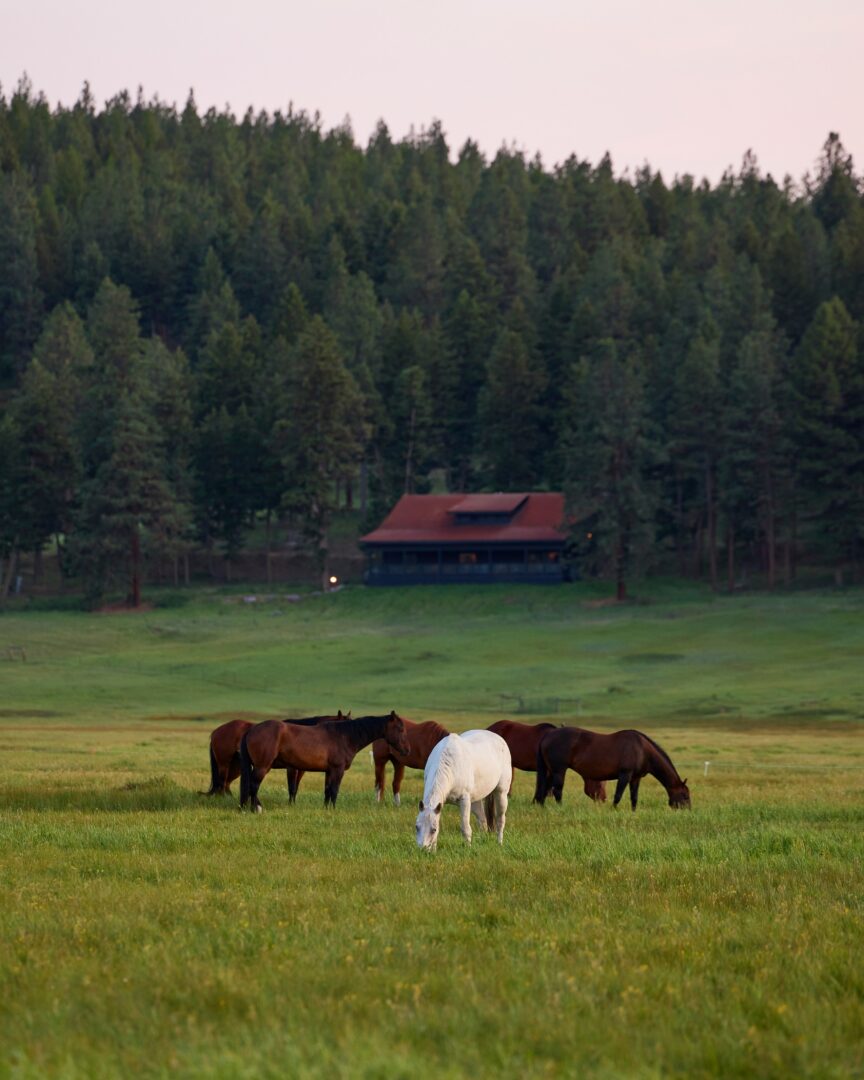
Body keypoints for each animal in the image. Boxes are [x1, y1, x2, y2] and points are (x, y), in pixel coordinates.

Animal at [204, 712, 349, 798]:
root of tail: (216, 731)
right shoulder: (292, 768)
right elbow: (292, 787)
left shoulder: (300, 769)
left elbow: (295, 787)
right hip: (225, 764)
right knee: (222, 782)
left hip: (237, 766)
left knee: (226, 783)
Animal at [239, 712, 411, 811]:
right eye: (400, 728)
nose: (407, 751)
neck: (345, 736)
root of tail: (252, 729)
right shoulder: (338, 769)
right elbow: (334, 790)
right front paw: (333, 809)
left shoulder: (329, 771)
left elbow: (327, 790)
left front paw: (326, 809)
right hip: (262, 766)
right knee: (253, 786)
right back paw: (256, 808)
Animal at [534, 726, 691, 810]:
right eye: (685, 795)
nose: (688, 811)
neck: (642, 749)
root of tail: (548, 735)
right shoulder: (625, 775)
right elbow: (618, 795)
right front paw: (613, 810)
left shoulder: (635, 778)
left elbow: (634, 797)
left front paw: (634, 812)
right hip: (559, 770)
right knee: (557, 790)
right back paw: (560, 808)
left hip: (551, 771)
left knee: (545, 788)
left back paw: (542, 807)